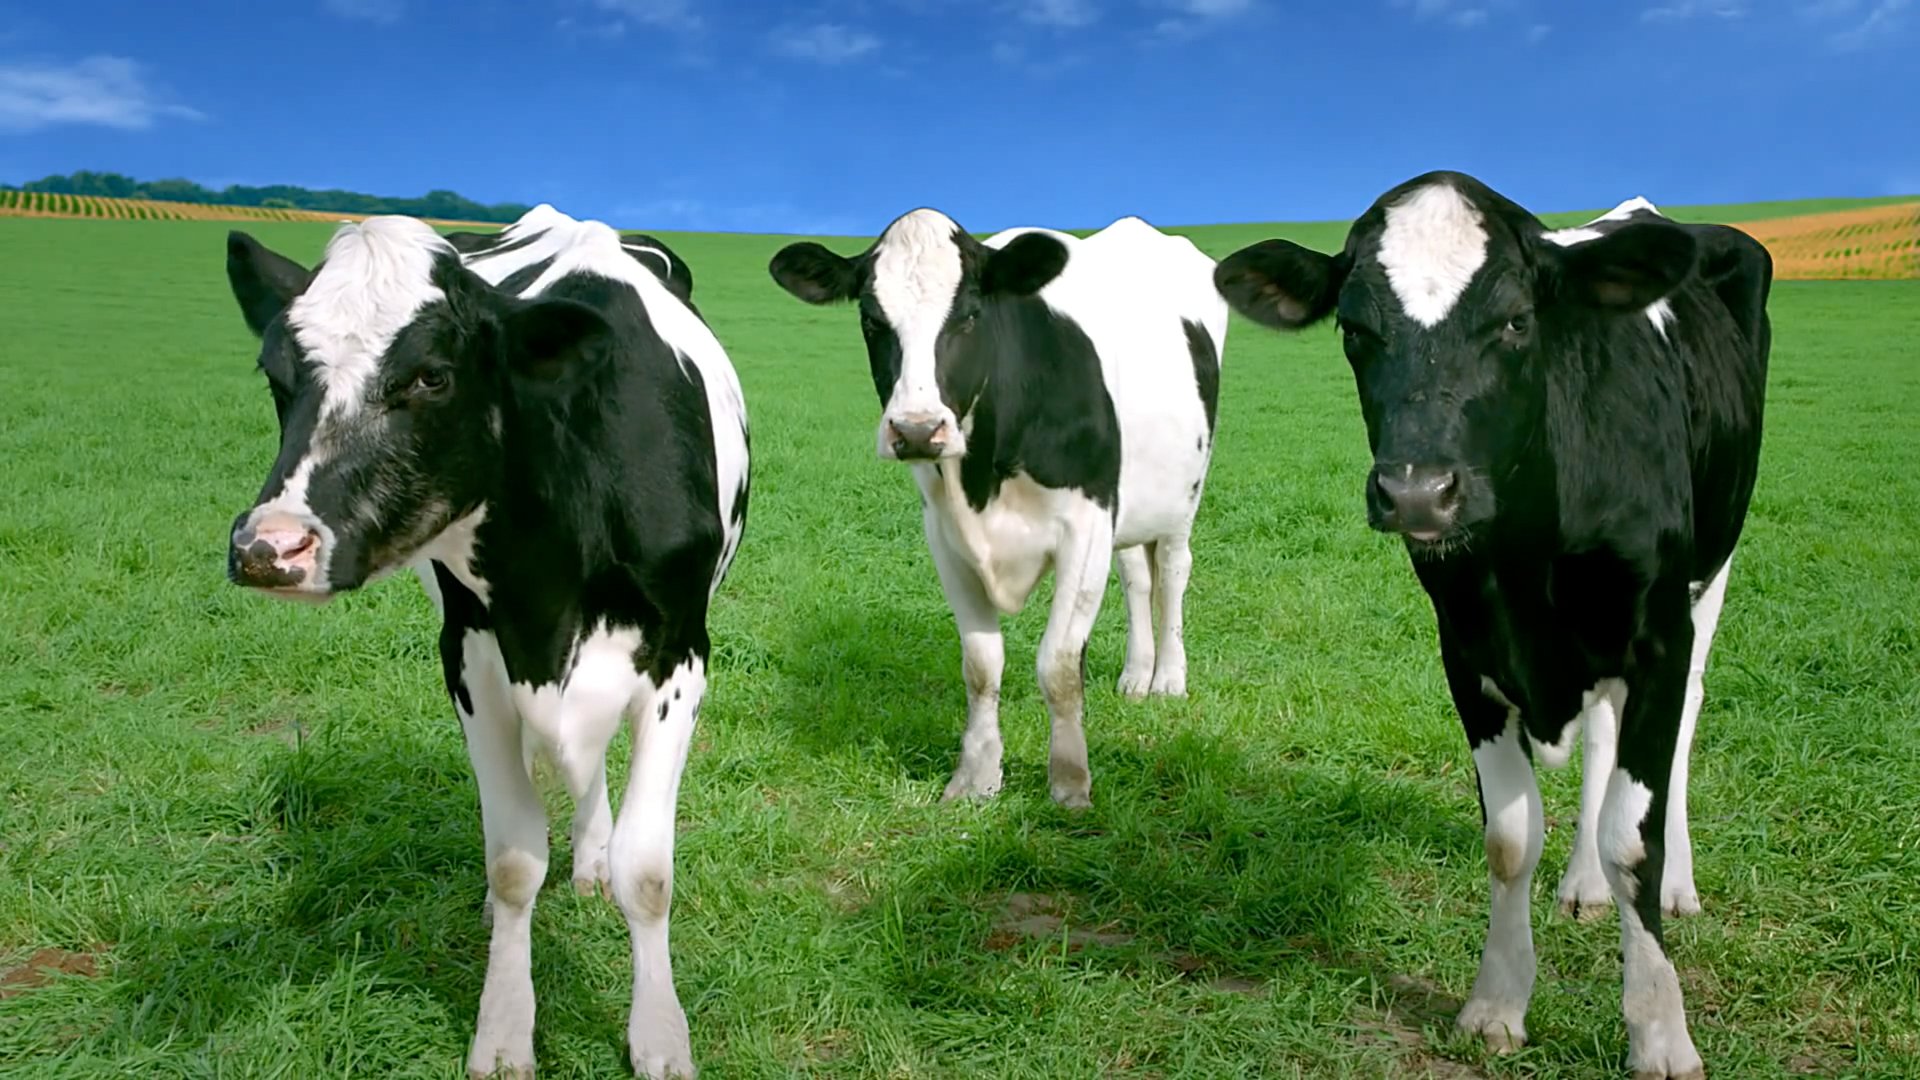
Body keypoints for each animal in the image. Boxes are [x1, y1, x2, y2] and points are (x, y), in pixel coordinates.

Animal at [222, 203, 750, 1079]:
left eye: (432, 376)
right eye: (276, 377)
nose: (270, 548)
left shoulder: (683, 655)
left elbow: (647, 871)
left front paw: (660, 1035)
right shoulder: (469, 655)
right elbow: (512, 861)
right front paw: (503, 1027)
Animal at [768, 210, 1228, 809]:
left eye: (970, 314)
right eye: (871, 318)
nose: (917, 430)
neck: (985, 475)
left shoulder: (1086, 523)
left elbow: (1058, 664)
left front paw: (1070, 783)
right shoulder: (945, 534)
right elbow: (982, 665)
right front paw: (976, 776)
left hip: (1182, 494)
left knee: (1172, 572)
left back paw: (1169, 679)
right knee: (1137, 576)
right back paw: (1136, 675)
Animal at [1212, 172, 1770, 1079]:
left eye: (1515, 320)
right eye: (1355, 329)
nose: (1416, 491)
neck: (1528, 552)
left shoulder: (1655, 637)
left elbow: (1634, 840)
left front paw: (1659, 1028)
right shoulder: (1467, 653)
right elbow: (1511, 838)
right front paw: (1498, 1003)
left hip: (1714, 564)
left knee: (1686, 712)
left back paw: (1678, 886)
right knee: (1602, 741)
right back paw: (1582, 885)